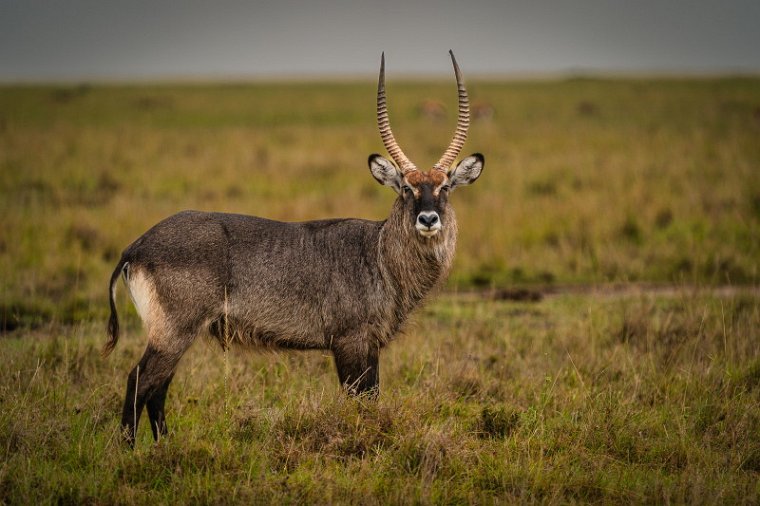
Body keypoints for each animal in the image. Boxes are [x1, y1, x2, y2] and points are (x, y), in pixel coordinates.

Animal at [104, 51, 484, 444]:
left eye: (445, 187)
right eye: (407, 188)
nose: (428, 219)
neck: (379, 254)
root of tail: (135, 246)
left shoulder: (370, 346)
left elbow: (371, 397)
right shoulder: (351, 342)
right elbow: (362, 401)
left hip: (176, 334)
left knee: (157, 389)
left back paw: (163, 446)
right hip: (174, 331)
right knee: (139, 382)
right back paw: (130, 450)